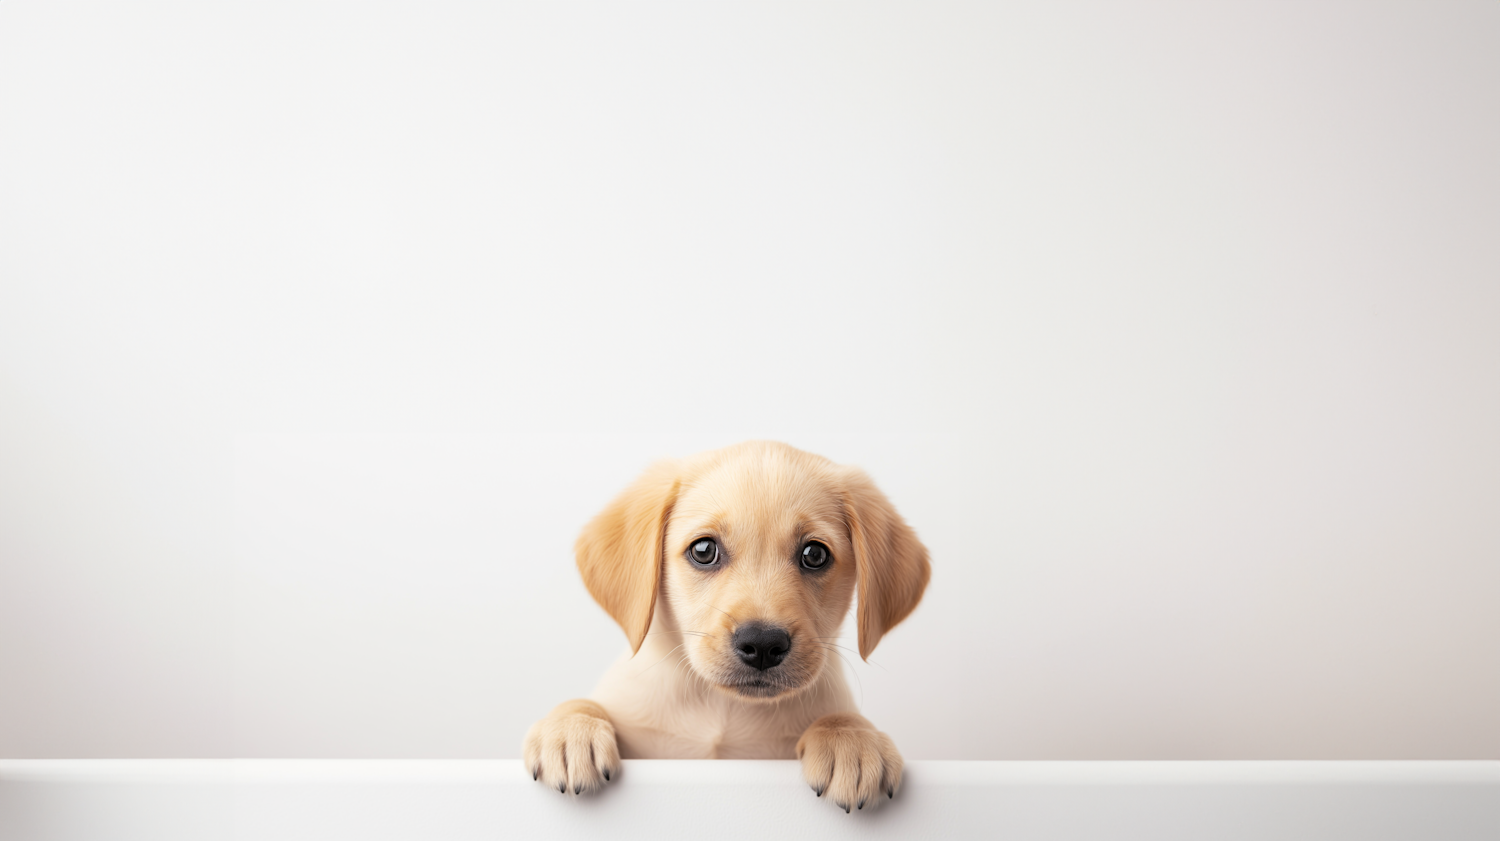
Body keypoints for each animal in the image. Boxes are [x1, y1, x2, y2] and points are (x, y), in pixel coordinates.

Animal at [525, 443, 924, 809]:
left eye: (815, 554)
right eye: (703, 550)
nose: (762, 644)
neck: (722, 706)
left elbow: (839, 716)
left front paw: (852, 739)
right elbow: (586, 703)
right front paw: (570, 730)